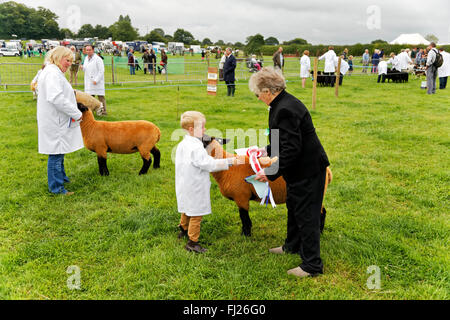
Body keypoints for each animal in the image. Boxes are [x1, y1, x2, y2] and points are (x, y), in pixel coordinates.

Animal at [202, 136, 332, 236]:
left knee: (320, 213)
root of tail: (328, 170)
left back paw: (320, 232)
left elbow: (244, 218)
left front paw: (245, 235)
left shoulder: (241, 197)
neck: (227, 168)